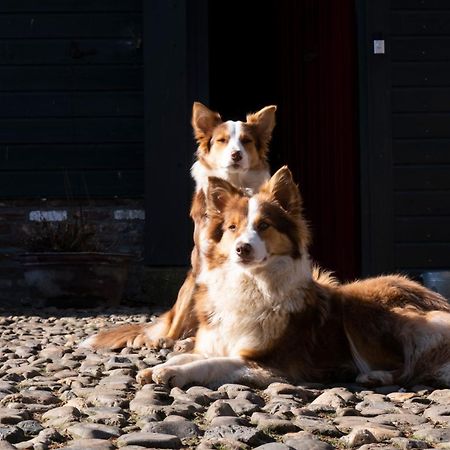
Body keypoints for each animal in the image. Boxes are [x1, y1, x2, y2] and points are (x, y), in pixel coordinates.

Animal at [82, 103, 276, 352]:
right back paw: (163, 340)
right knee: (178, 323)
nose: (236, 154)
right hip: (188, 286)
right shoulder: (203, 264)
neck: (235, 185)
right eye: (222, 140)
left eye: (246, 141)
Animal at [136, 167, 450, 388]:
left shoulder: (269, 363)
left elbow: (211, 364)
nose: (242, 248)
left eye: (263, 225)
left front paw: (174, 371)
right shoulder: (217, 342)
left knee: (408, 367)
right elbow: (192, 354)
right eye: (232, 227)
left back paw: (374, 376)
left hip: (359, 306)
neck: (249, 282)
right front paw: (158, 366)